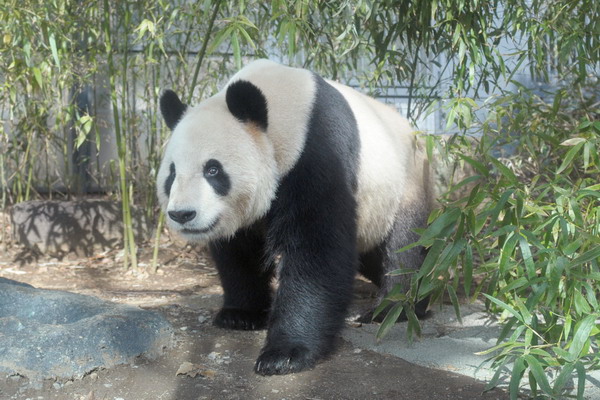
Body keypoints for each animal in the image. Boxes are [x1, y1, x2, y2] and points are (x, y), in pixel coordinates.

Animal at [157, 59, 434, 376]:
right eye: (172, 173)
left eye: (212, 170)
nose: (182, 214)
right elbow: (238, 251)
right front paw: (240, 314)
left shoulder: (315, 151)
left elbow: (316, 249)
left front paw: (284, 354)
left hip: (405, 183)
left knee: (406, 247)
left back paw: (396, 308)